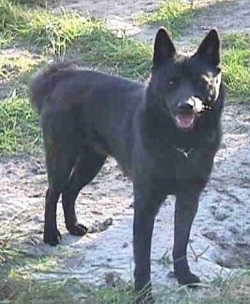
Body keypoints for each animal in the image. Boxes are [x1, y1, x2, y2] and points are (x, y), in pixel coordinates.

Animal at [29, 27, 225, 302]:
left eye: (200, 82)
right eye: (171, 82)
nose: (186, 106)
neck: (180, 145)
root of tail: (61, 78)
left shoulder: (189, 199)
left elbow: (181, 242)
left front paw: (184, 277)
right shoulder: (145, 204)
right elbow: (142, 257)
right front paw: (143, 293)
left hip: (92, 162)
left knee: (69, 191)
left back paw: (73, 226)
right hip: (62, 157)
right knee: (52, 192)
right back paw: (50, 234)